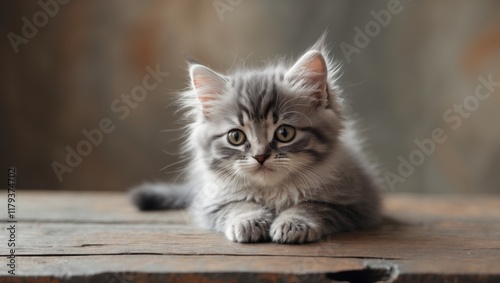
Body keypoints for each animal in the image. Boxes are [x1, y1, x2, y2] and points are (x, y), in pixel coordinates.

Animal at [131, 35, 380, 244]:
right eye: (236, 137)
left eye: (284, 133)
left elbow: (312, 206)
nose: (260, 156)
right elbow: (239, 205)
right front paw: (249, 221)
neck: (273, 193)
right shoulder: (212, 204)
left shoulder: (354, 203)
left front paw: (293, 223)